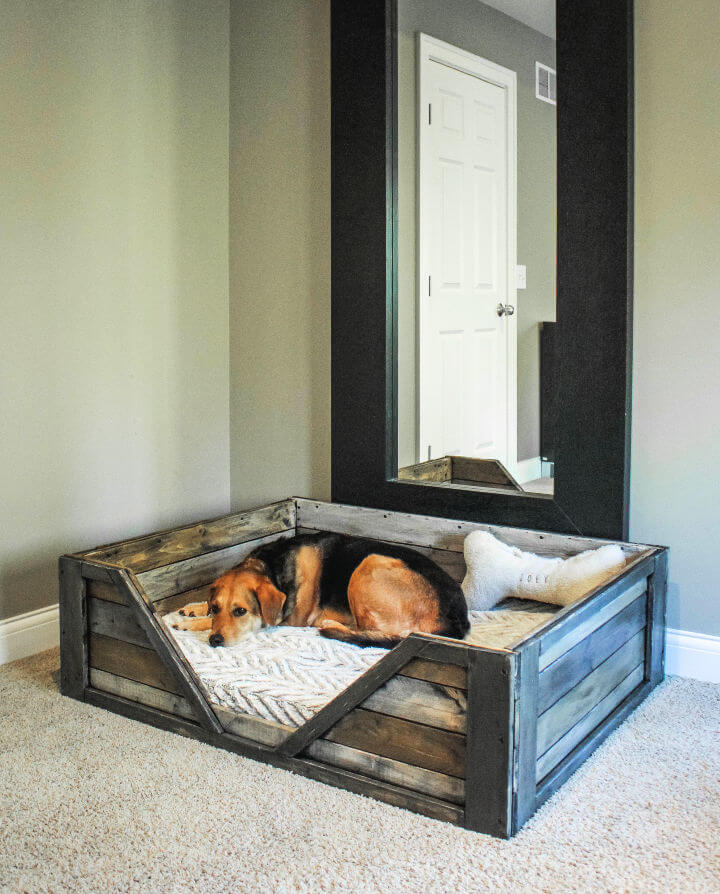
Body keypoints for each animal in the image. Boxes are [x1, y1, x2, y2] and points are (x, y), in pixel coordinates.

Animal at [172, 532, 470, 652]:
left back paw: (330, 624)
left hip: (369, 564)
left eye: (240, 611)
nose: (215, 641)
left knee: (376, 632)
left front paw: (190, 623)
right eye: (217, 607)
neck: (272, 566)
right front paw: (195, 609)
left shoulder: (288, 619)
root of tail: (458, 619)